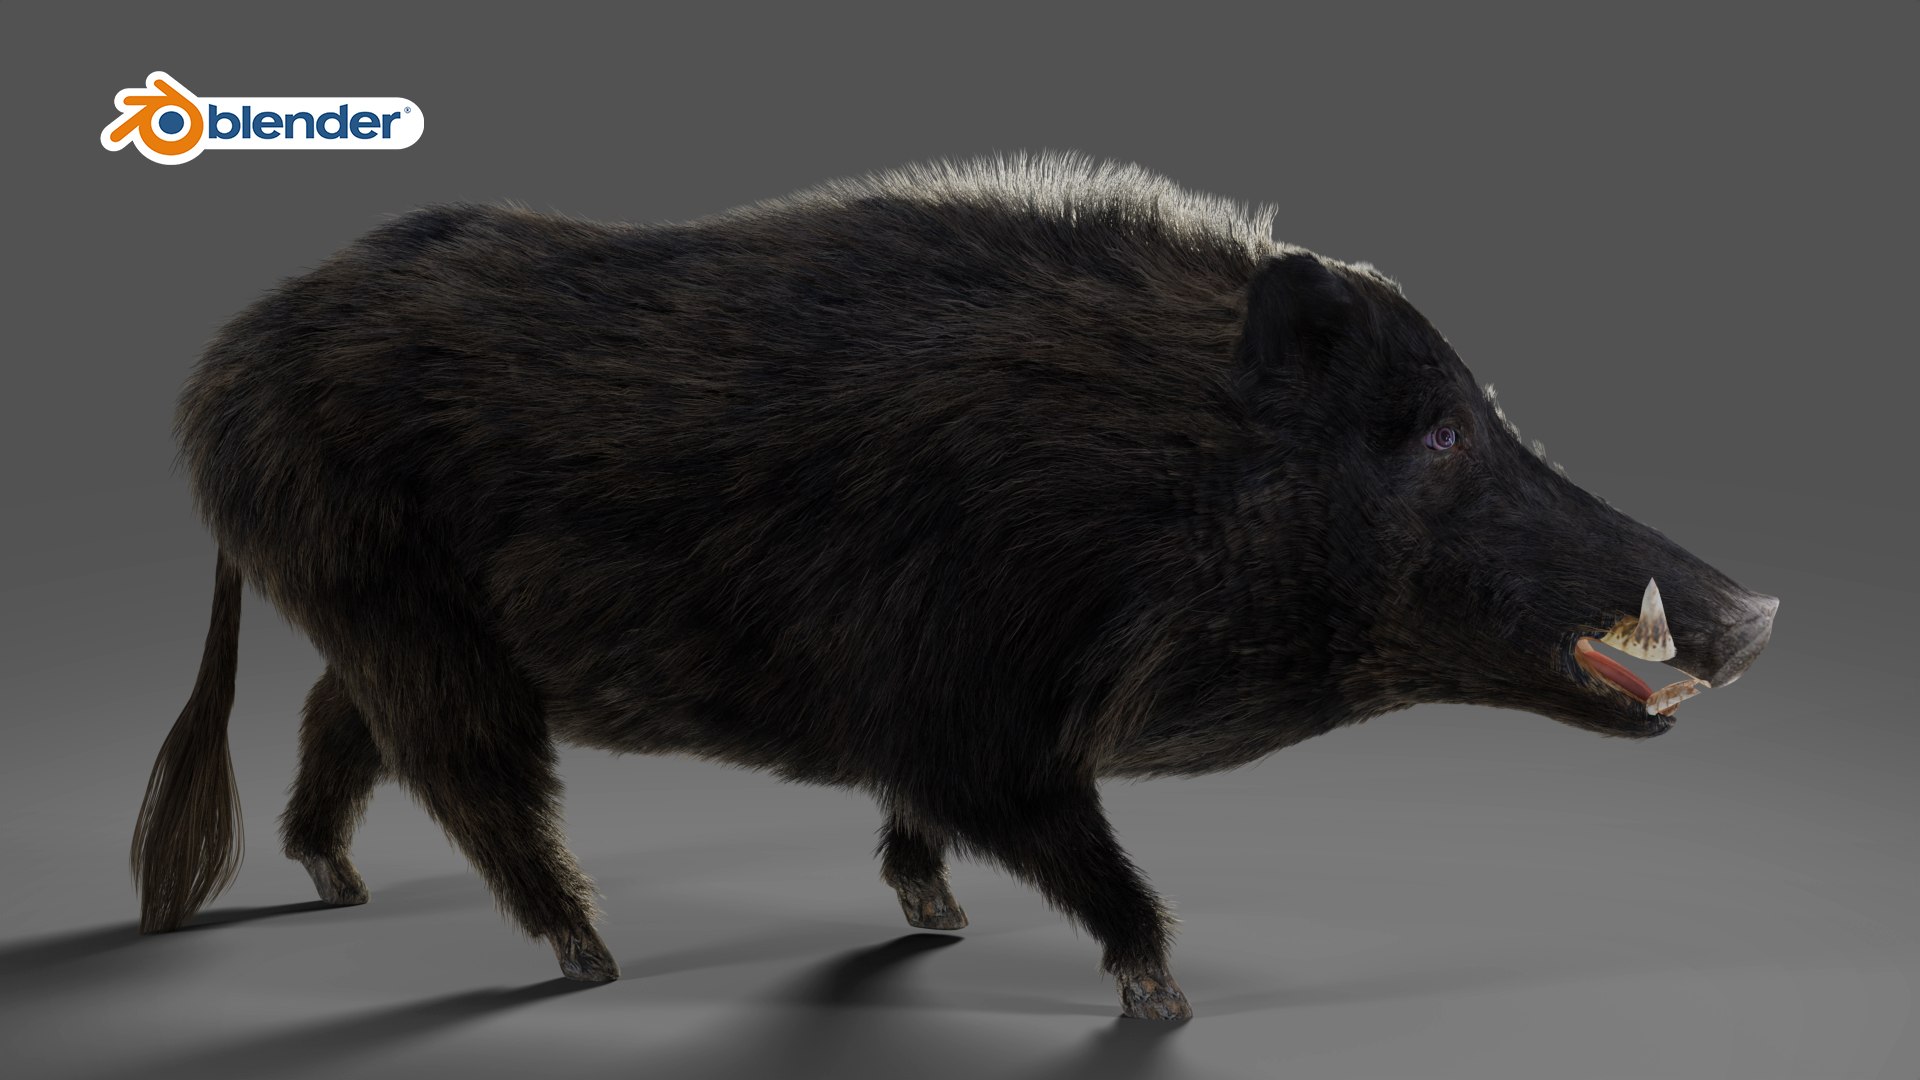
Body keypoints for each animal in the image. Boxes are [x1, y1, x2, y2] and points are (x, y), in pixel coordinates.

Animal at [132, 151, 1779, 1020]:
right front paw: (1163, 999)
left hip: (386, 617)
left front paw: (936, 921)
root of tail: (219, 370)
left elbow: (920, 822)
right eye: (1436, 431)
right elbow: (1059, 838)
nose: (1760, 610)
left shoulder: (922, 722)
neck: (1158, 474)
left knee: (340, 726)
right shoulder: (974, 709)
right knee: (469, 778)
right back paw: (590, 961)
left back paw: (334, 881)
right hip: (412, 615)